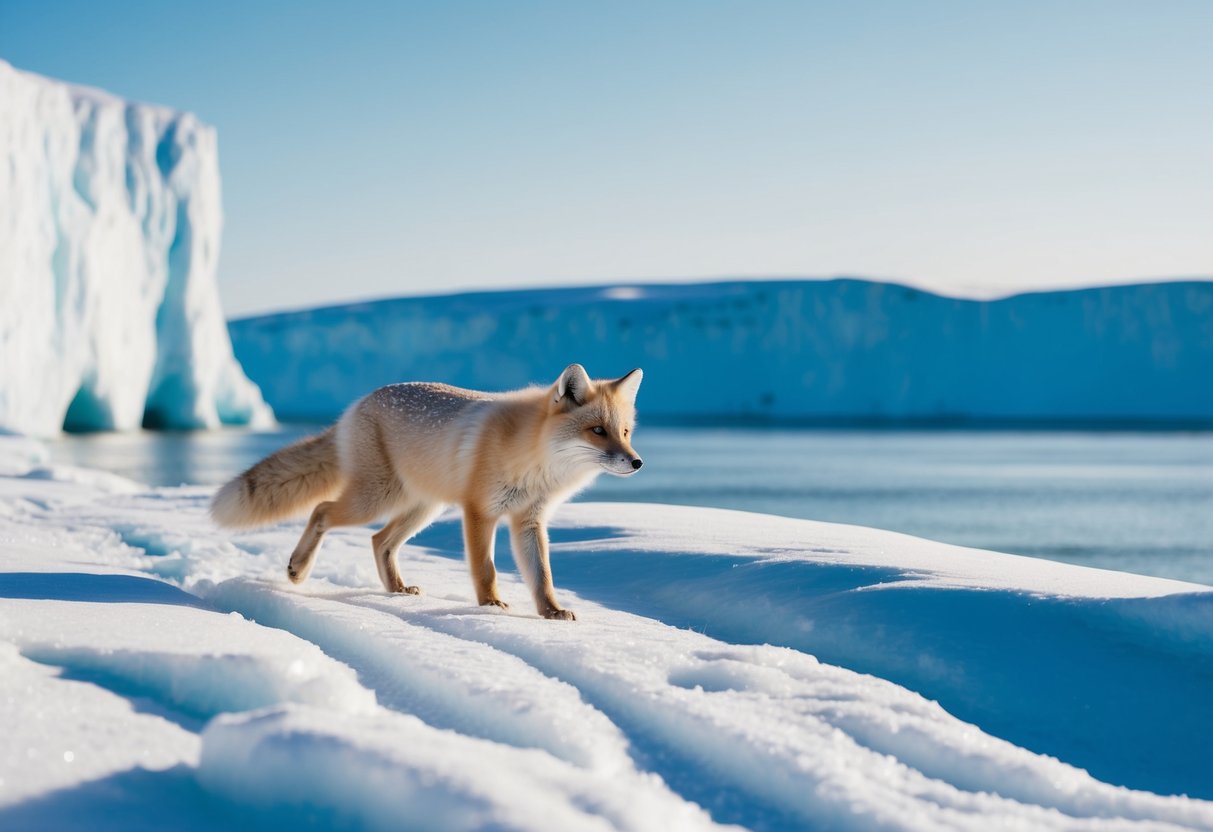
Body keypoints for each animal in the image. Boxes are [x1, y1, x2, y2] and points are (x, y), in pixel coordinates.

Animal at [210, 364, 643, 620]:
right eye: (597, 431)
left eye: (624, 432)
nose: (637, 462)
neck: (533, 455)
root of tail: (355, 406)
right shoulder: (479, 510)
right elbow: (485, 568)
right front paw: (490, 606)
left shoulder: (528, 520)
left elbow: (543, 575)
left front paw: (551, 612)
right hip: (375, 499)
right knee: (321, 511)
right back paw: (298, 569)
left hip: (422, 508)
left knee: (379, 541)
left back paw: (397, 590)